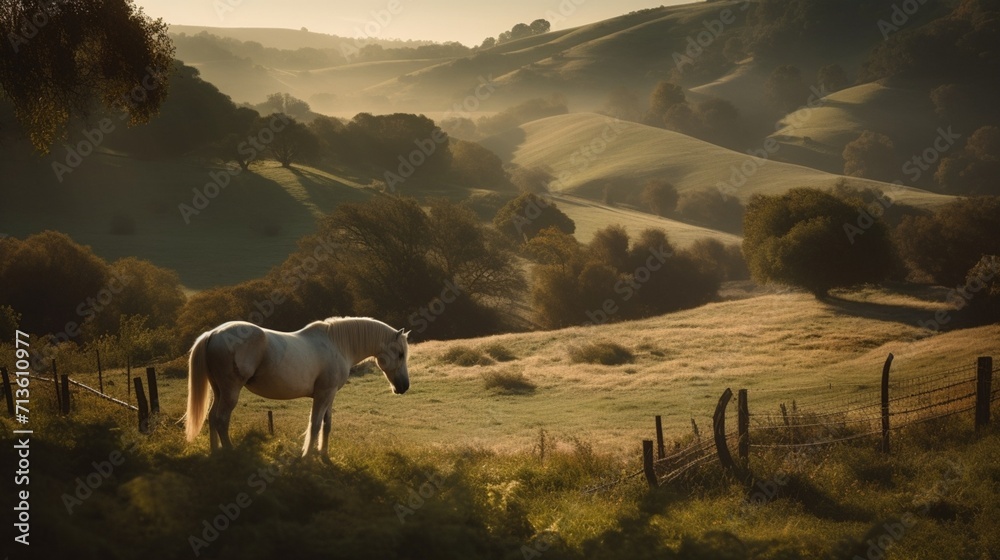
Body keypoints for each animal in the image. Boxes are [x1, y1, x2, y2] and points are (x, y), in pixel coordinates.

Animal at [184, 317, 410, 457]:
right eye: (400, 354)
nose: (404, 386)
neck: (337, 345)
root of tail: (213, 333)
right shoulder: (323, 394)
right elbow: (315, 424)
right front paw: (307, 456)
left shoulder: (330, 395)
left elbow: (326, 425)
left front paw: (323, 453)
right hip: (230, 391)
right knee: (222, 419)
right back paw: (230, 452)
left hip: (218, 390)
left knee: (213, 417)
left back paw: (216, 453)